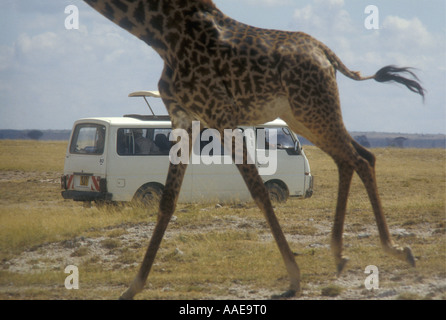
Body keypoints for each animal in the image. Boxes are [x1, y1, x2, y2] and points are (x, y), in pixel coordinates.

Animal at [83, 0, 422, 300]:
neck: (160, 32)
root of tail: (328, 55)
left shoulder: (220, 113)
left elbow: (259, 190)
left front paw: (294, 278)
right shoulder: (184, 117)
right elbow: (167, 201)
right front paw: (132, 287)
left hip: (312, 107)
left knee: (359, 158)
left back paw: (395, 250)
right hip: (301, 114)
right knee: (356, 157)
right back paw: (342, 254)